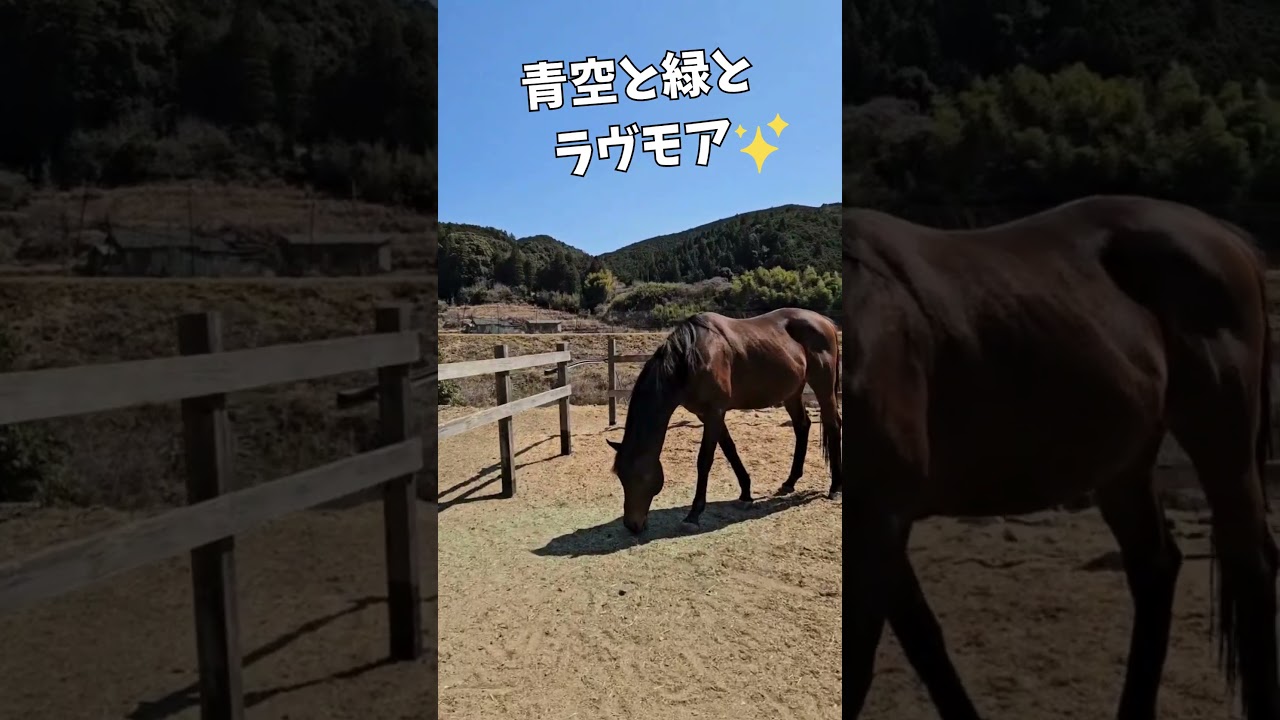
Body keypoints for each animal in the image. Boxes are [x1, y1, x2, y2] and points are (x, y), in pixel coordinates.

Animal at [606, 308, 842, 535]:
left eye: (640, 476)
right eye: (621, 476)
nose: (632, 525)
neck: (691, 358)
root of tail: (825, 322)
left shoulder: (714, 413)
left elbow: (704, 460)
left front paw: (693, 515)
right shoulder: (707, 415)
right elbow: (730, 450)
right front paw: (746, 494)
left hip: (823, 386)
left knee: (833, 425)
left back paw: (835, 488)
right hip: (792, 393)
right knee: (802, 426)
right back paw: (790, 482)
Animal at [845, 194, 1279, 719]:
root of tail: (1225, 237)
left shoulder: (879, 515)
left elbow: (863, 663)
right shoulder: (882, 520)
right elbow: (923, 641)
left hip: (1222, 442)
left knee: (1251, 565)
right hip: (1125, 465)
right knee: (1155, 565)